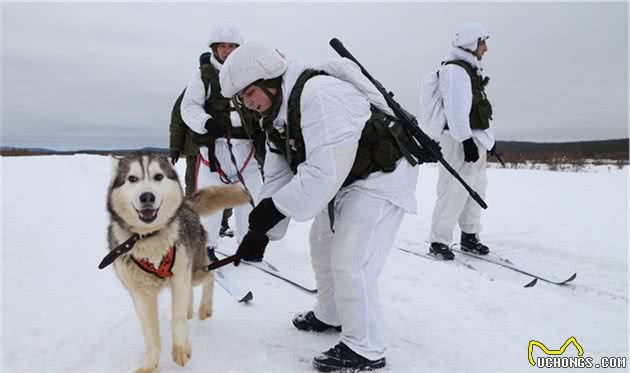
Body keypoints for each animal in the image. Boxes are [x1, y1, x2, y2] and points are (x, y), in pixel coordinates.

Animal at [106, 153, 249, 370]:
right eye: (132, 178)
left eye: (158, 176)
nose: (147, 197)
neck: (149, 238)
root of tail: (186, 205)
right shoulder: (140, 293)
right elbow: (151, 335)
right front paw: (150, 365)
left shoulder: (179, 276)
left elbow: (177, 318)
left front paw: (181, 350)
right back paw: (191, 309)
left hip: (196, 269)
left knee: (209, 276)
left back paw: (204, 308)